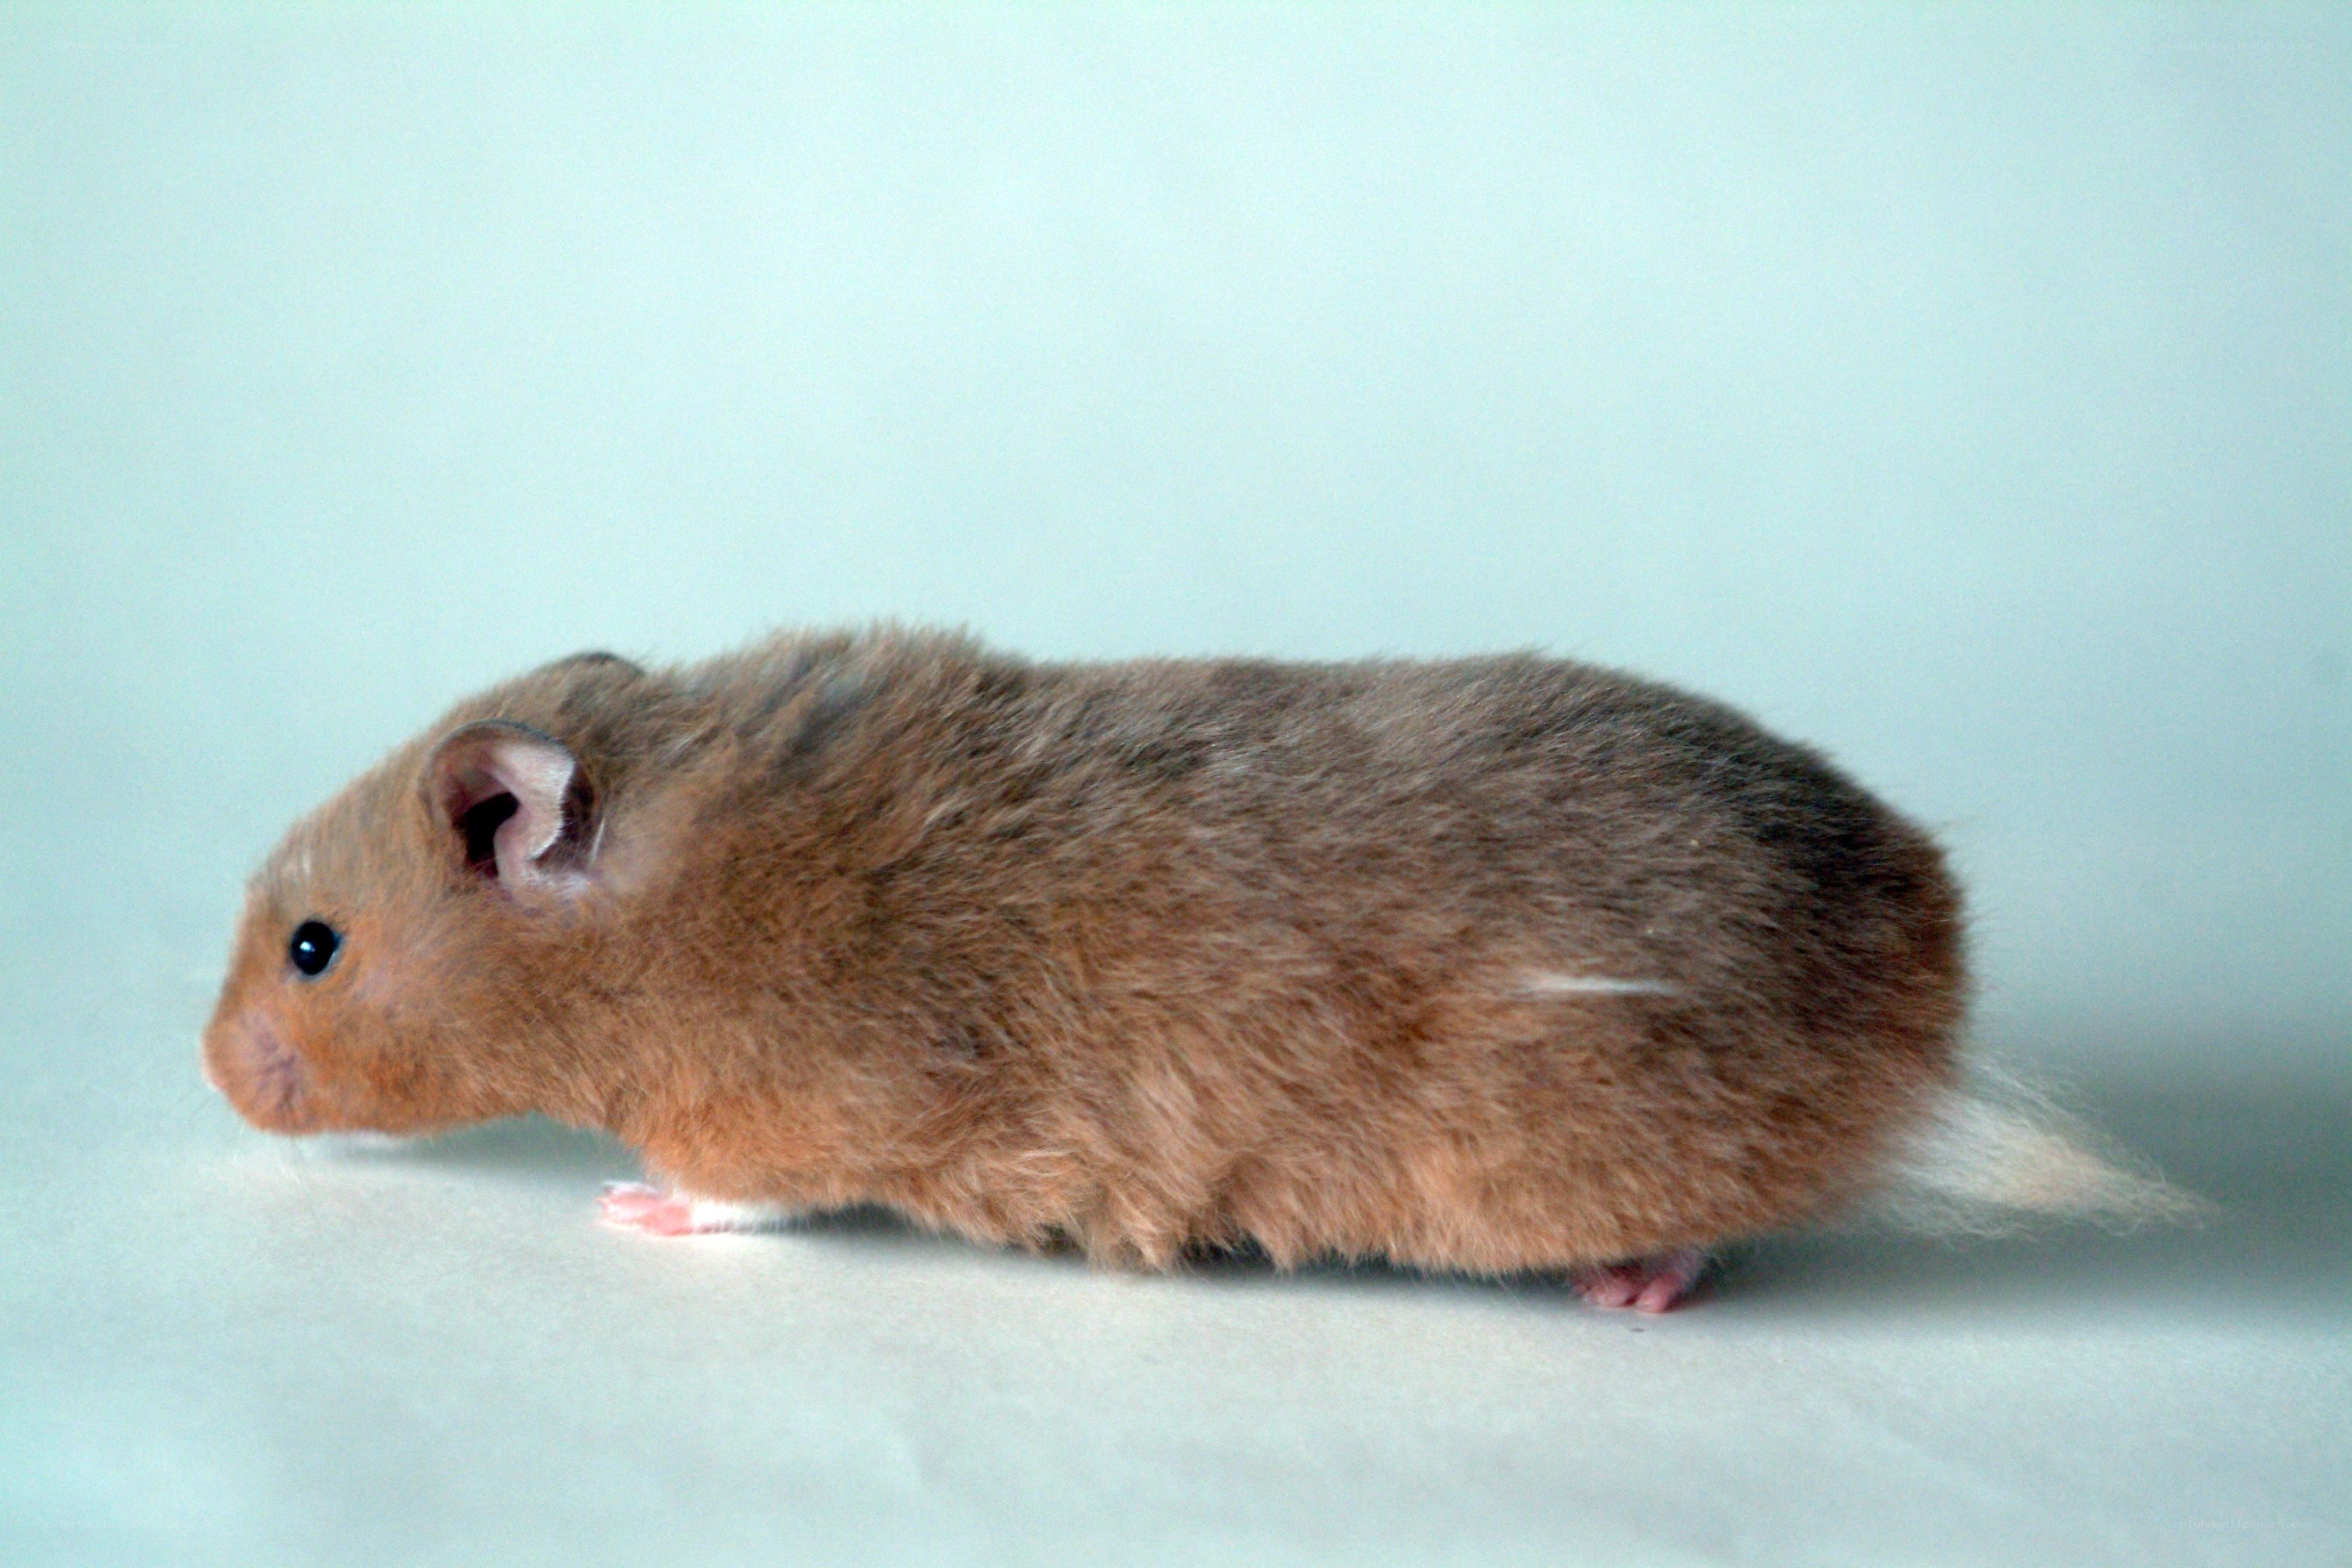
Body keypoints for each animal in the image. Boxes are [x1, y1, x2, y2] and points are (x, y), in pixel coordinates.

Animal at [202, 627, 2175, 1312]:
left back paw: (1637, 1287)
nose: (210, 1073)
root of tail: (1928, 971)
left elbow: (744, 1191)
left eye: (313, 948)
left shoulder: (795, 1102)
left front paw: (627, 1205)